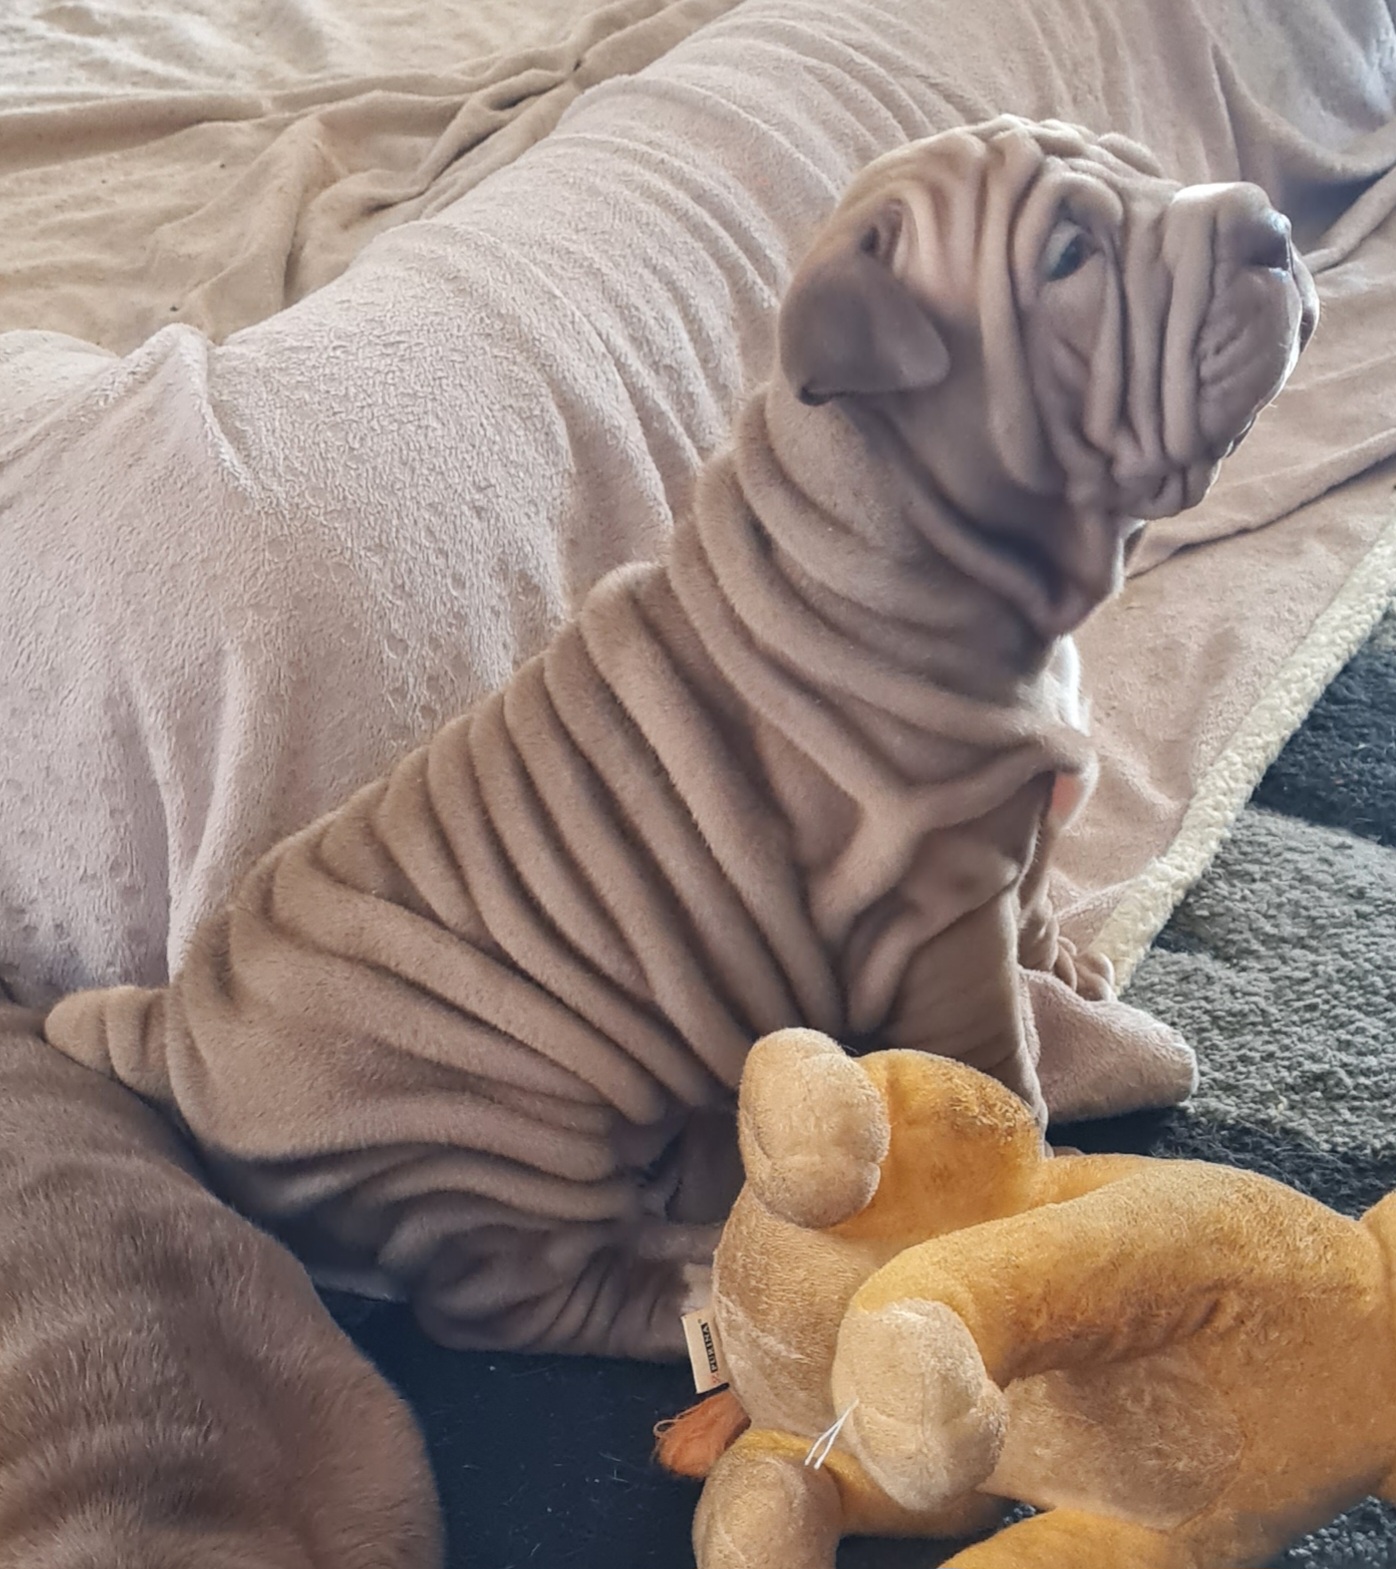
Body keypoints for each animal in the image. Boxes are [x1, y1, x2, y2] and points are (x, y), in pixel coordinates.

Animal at [42, 118, 1316, 1358]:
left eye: (1147, 173)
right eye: (1066, 256)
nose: (1268, 225)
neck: (887, 529)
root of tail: (176, 1026)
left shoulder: (1011, 833)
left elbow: (1044, 906)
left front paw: (1073, 970)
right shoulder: (937, 912)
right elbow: (999, 1057)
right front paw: (1021, 1166)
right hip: (491, 1128)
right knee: (505, 1303)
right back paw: (697, 1291)